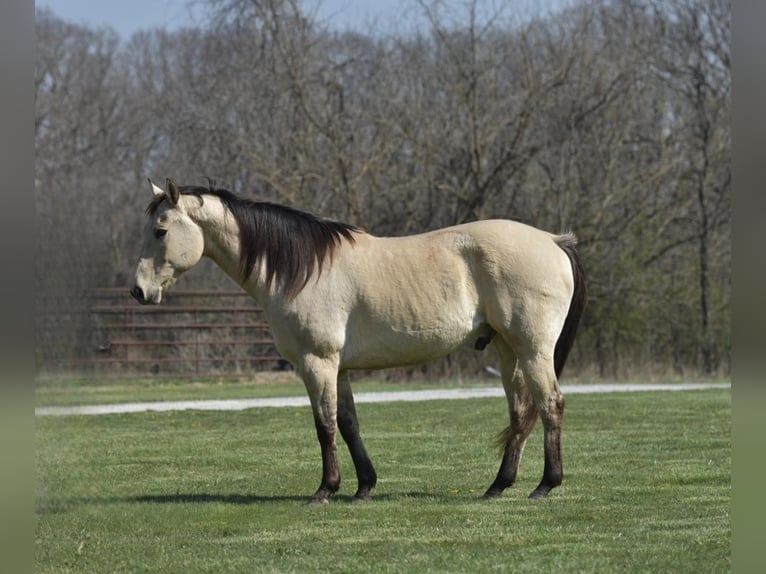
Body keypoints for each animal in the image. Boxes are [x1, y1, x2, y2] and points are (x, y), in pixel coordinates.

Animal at [130, 179, 588, 504]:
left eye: (160, 230)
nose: (138, 291)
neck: (300, 269)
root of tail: (552, 240)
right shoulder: (340, 369)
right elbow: (349, 424)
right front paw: (364, 486)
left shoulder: (317, 362)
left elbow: (325, 425)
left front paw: (325, 489)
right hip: (509, 350)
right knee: (521, 411)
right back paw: (498, 485)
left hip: (533, 349)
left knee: (551, 404)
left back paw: (545, 485)